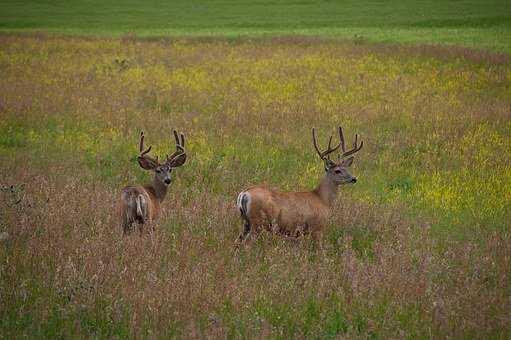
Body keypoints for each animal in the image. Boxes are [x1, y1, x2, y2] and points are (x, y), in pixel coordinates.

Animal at [236, 126, 364, 248]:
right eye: (337, 171)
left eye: (347, 168)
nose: (354, 178)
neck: (322, 199)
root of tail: (244, 194)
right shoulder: (317, 228)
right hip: (257, 222)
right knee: (247, 244)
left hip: (246, 222)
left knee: (237, 242)